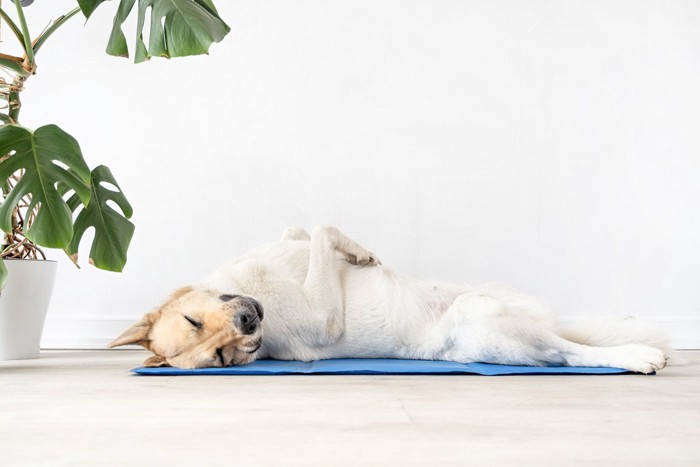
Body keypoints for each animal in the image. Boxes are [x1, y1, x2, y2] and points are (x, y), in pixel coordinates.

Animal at [110, 225, 672, 374]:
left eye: (193, 320)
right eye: (223, 357)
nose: (249, 322)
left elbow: (304, 230)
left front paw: (356, 254)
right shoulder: (323, 319)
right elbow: (323, 227)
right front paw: (359, 252)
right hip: (489, 322)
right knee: (570, 352)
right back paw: (639, 356)